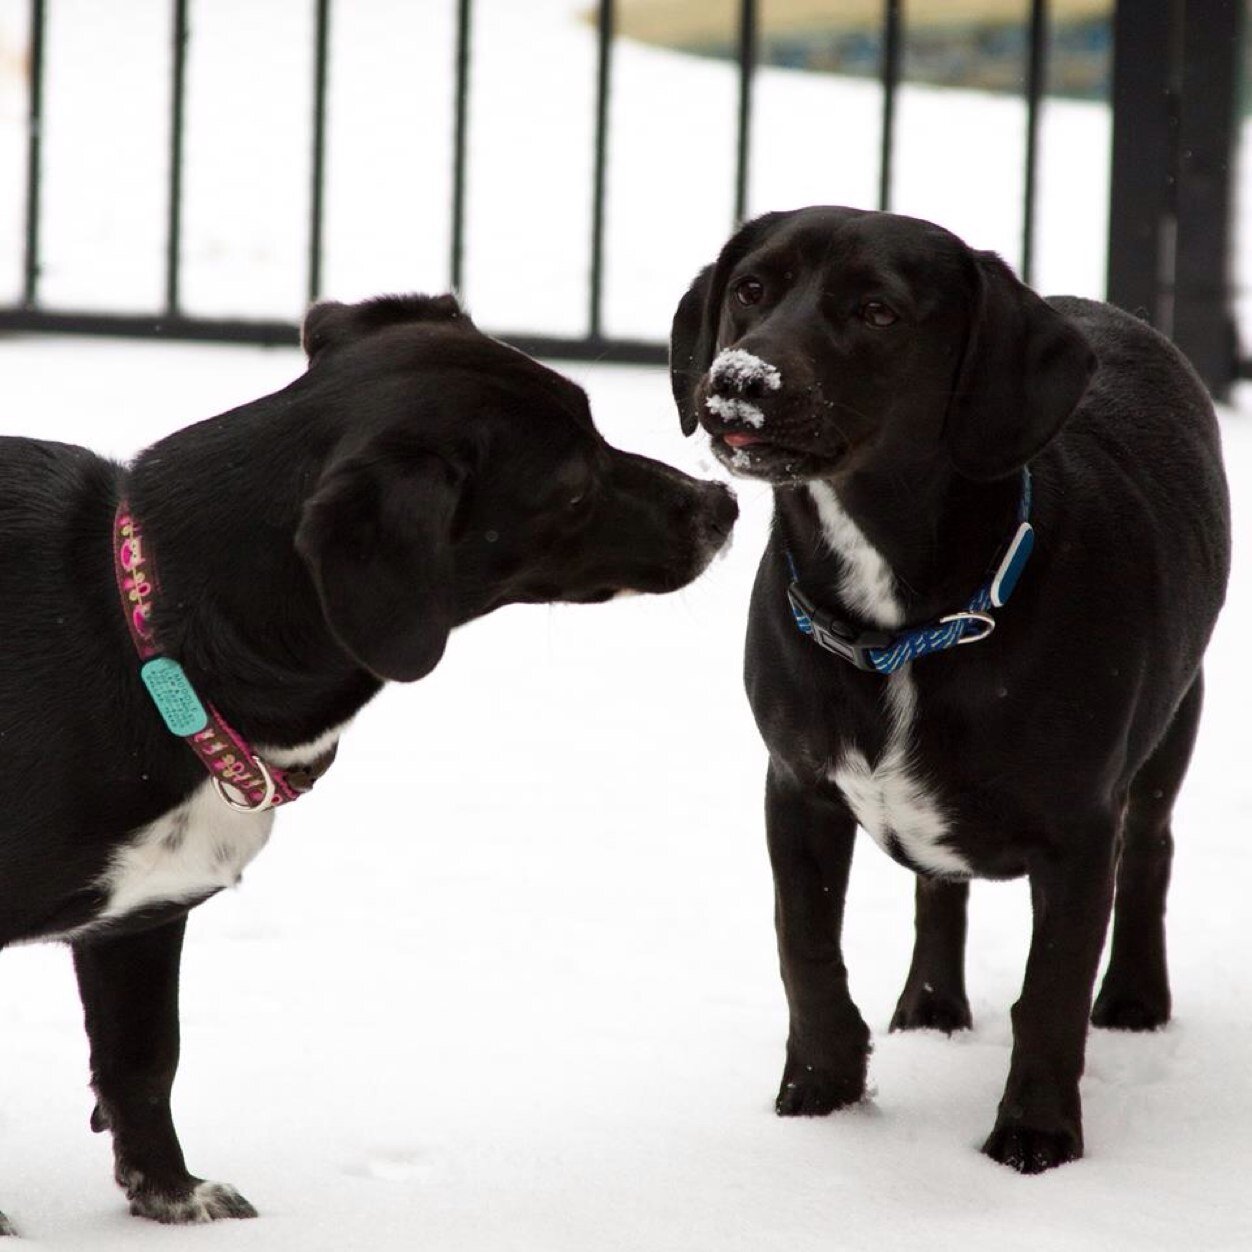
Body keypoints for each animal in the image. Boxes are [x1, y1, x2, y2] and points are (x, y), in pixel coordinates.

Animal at [0, 292, 731, 1231]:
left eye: (595, 422)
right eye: (571, 487)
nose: (722, 504)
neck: (140, 633)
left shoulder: (139, 922)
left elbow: (144, 1061)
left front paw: (170, 1191)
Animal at [671, 205, 1226, 1171]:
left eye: (878, 312)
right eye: (751, 289)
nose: (740, 381)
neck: (903, 628)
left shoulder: (1079, 834)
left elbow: (1051, 995)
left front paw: (1036, 1135)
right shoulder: (796, 788)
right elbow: (804, 947)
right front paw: (820, 1090)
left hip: (1172, 727)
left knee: (1151, 851)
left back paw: (1134, 998)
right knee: (939, 889)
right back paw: (931, 1006)